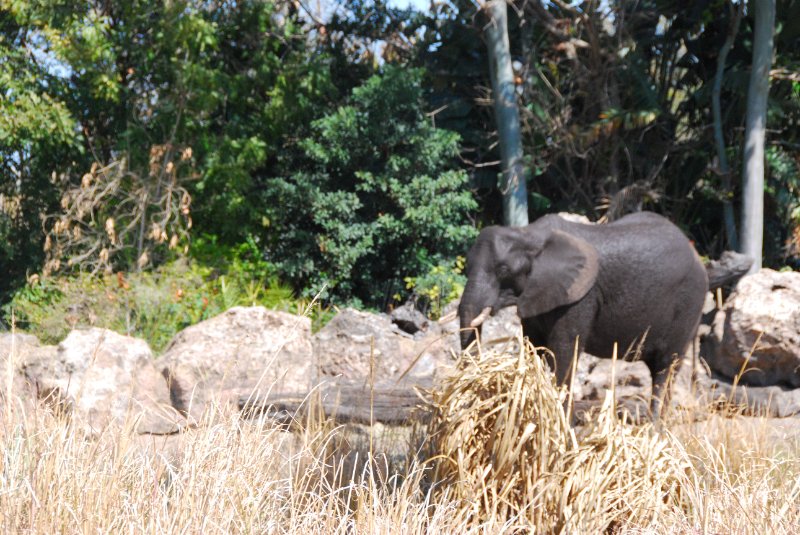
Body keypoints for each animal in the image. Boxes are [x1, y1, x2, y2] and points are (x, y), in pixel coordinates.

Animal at [456, 213, 708, 418]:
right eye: (465, 267)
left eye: (503, 270)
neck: (529, 234)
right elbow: (533, 346)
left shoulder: (581, 297)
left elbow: (563, 352)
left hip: (689, 305)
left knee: (666, 368)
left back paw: (655, 429)